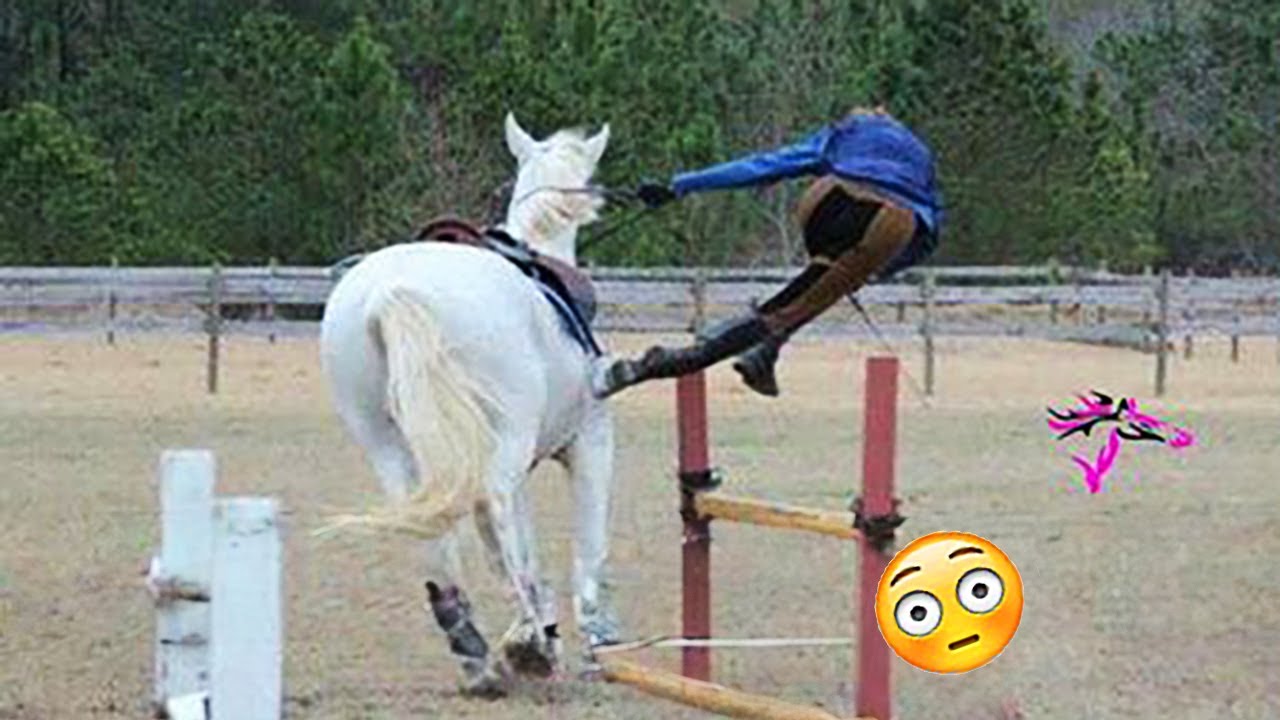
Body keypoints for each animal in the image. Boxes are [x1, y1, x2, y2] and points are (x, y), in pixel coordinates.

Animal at [318, 113, 620, 697]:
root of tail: (392, 292)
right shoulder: (589, 443)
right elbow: (586, 548)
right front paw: (590, 642)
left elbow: (528, 552)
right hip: (504, 441)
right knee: (489, 510)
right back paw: (526, 647)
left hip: (386, 443)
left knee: (432, 529)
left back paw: (477, 651)